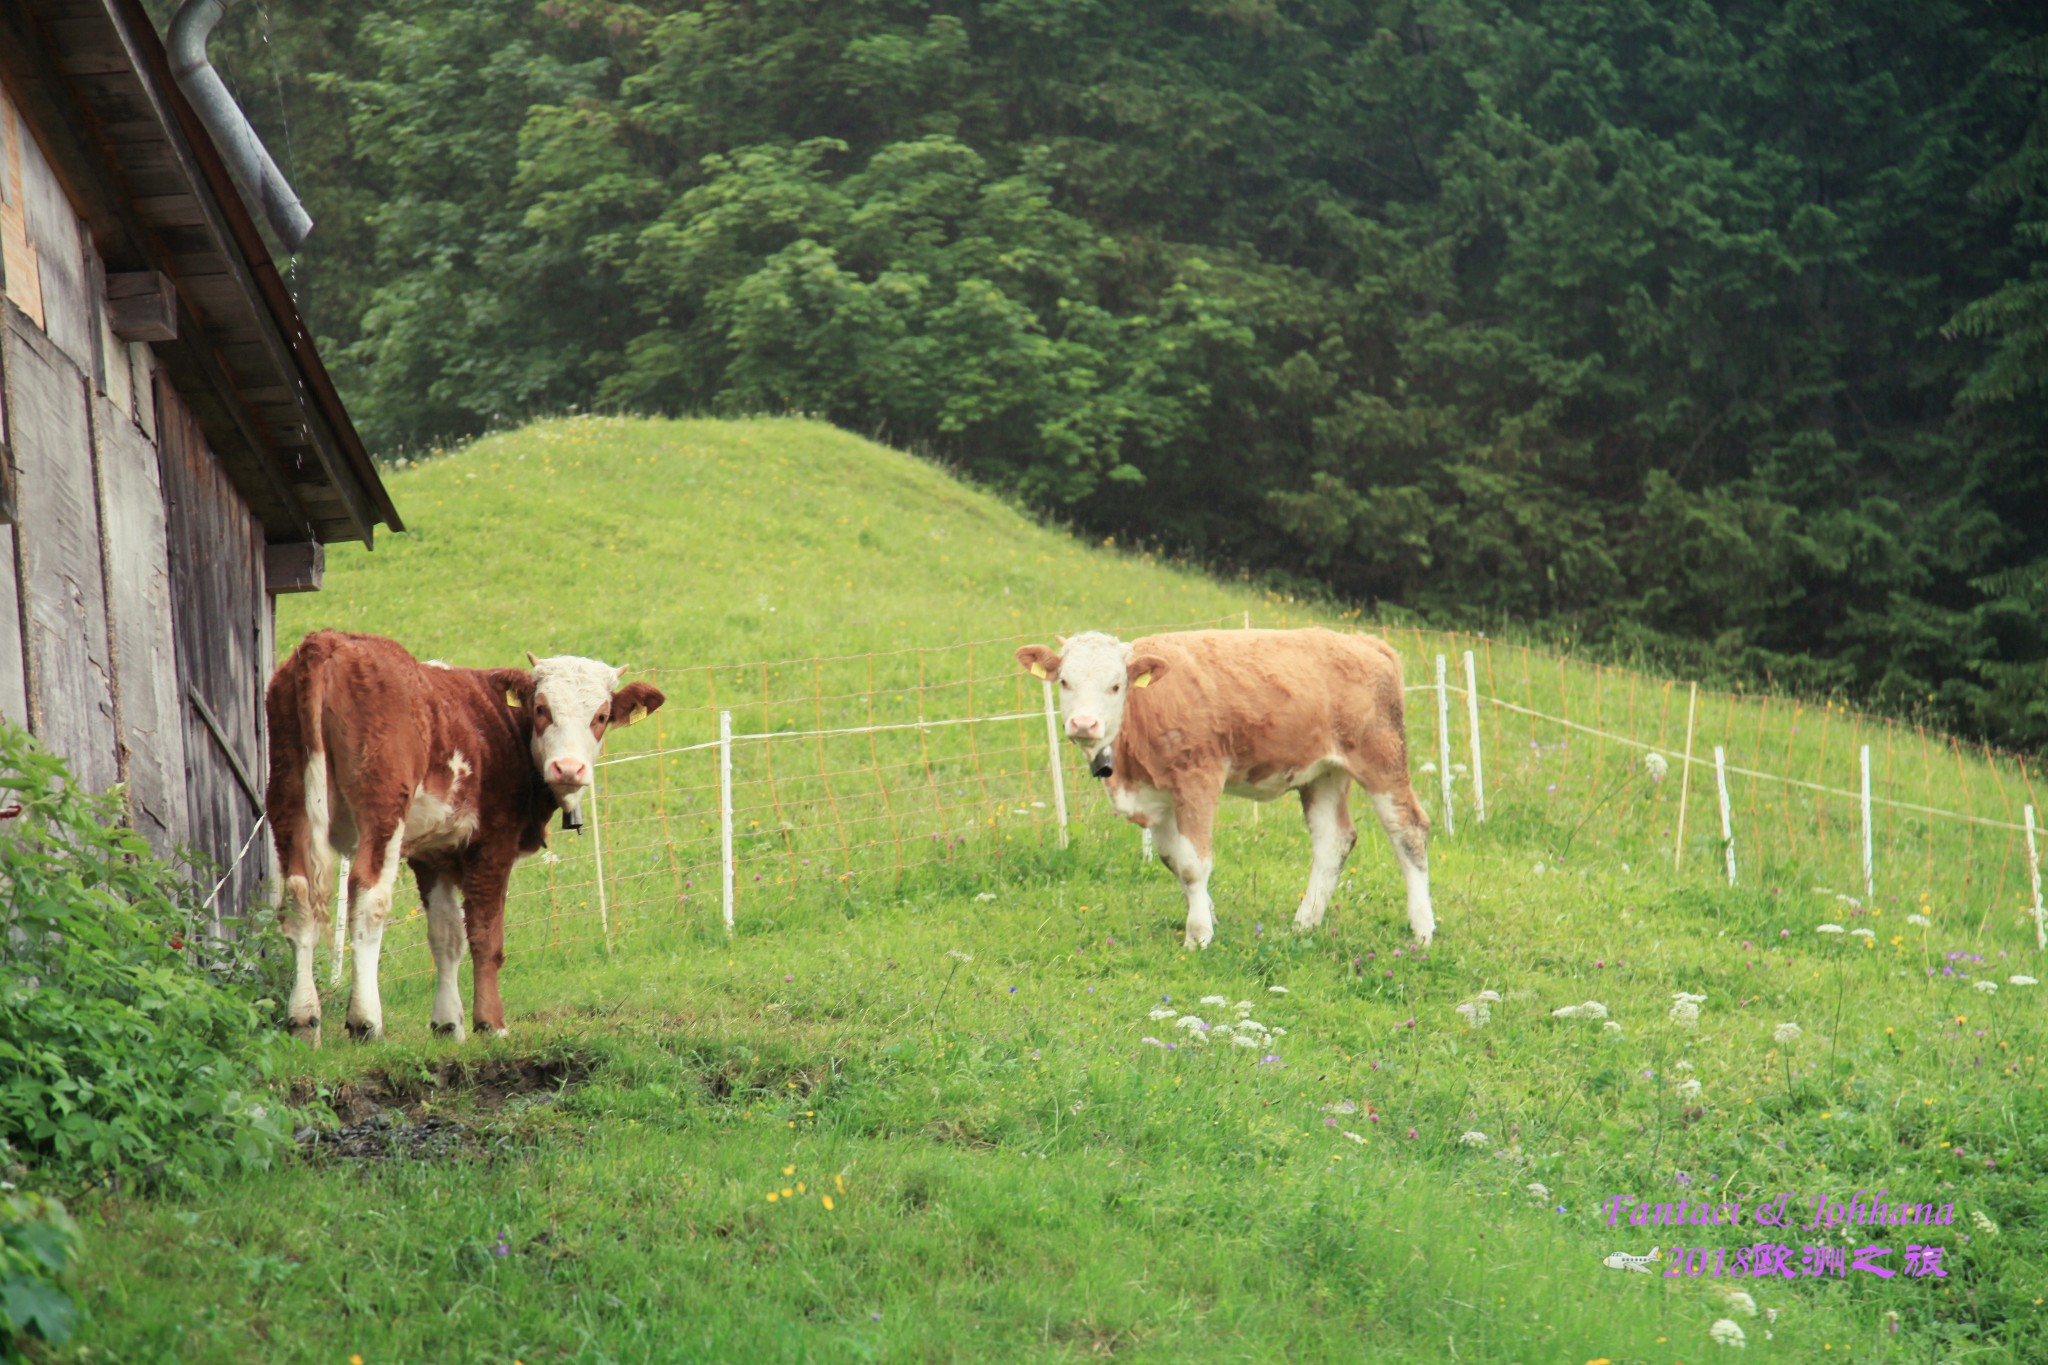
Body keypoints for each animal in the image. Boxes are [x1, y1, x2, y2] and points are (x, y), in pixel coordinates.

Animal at [264, 634, 663, 1047]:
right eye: (541, 709)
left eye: (600, 717)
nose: (568, 768)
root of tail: (327, 642)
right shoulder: (492, 844)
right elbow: (486, 935)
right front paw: (490, 1023)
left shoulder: (431, 851)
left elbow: (446, 935)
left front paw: (447, 1024)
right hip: (383, 807)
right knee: (368, 896)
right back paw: (365, 1020)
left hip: (287, 796)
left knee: (298, 895)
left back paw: (303, 1018)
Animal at [1015, 634, 1433, 945]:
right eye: (1065, 681)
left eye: (1116, 686)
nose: (1084, 724)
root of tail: (1366, 642)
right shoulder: (1159, 796)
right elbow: (1173, 860)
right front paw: (1207, 914)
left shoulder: (1198, 778)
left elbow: (1193, 863)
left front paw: (1198, 935)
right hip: (1324, 773)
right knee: (1334, 840)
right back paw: (1304, 924)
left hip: (1382, 759)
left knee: (1408, 829)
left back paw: (1422, 929)